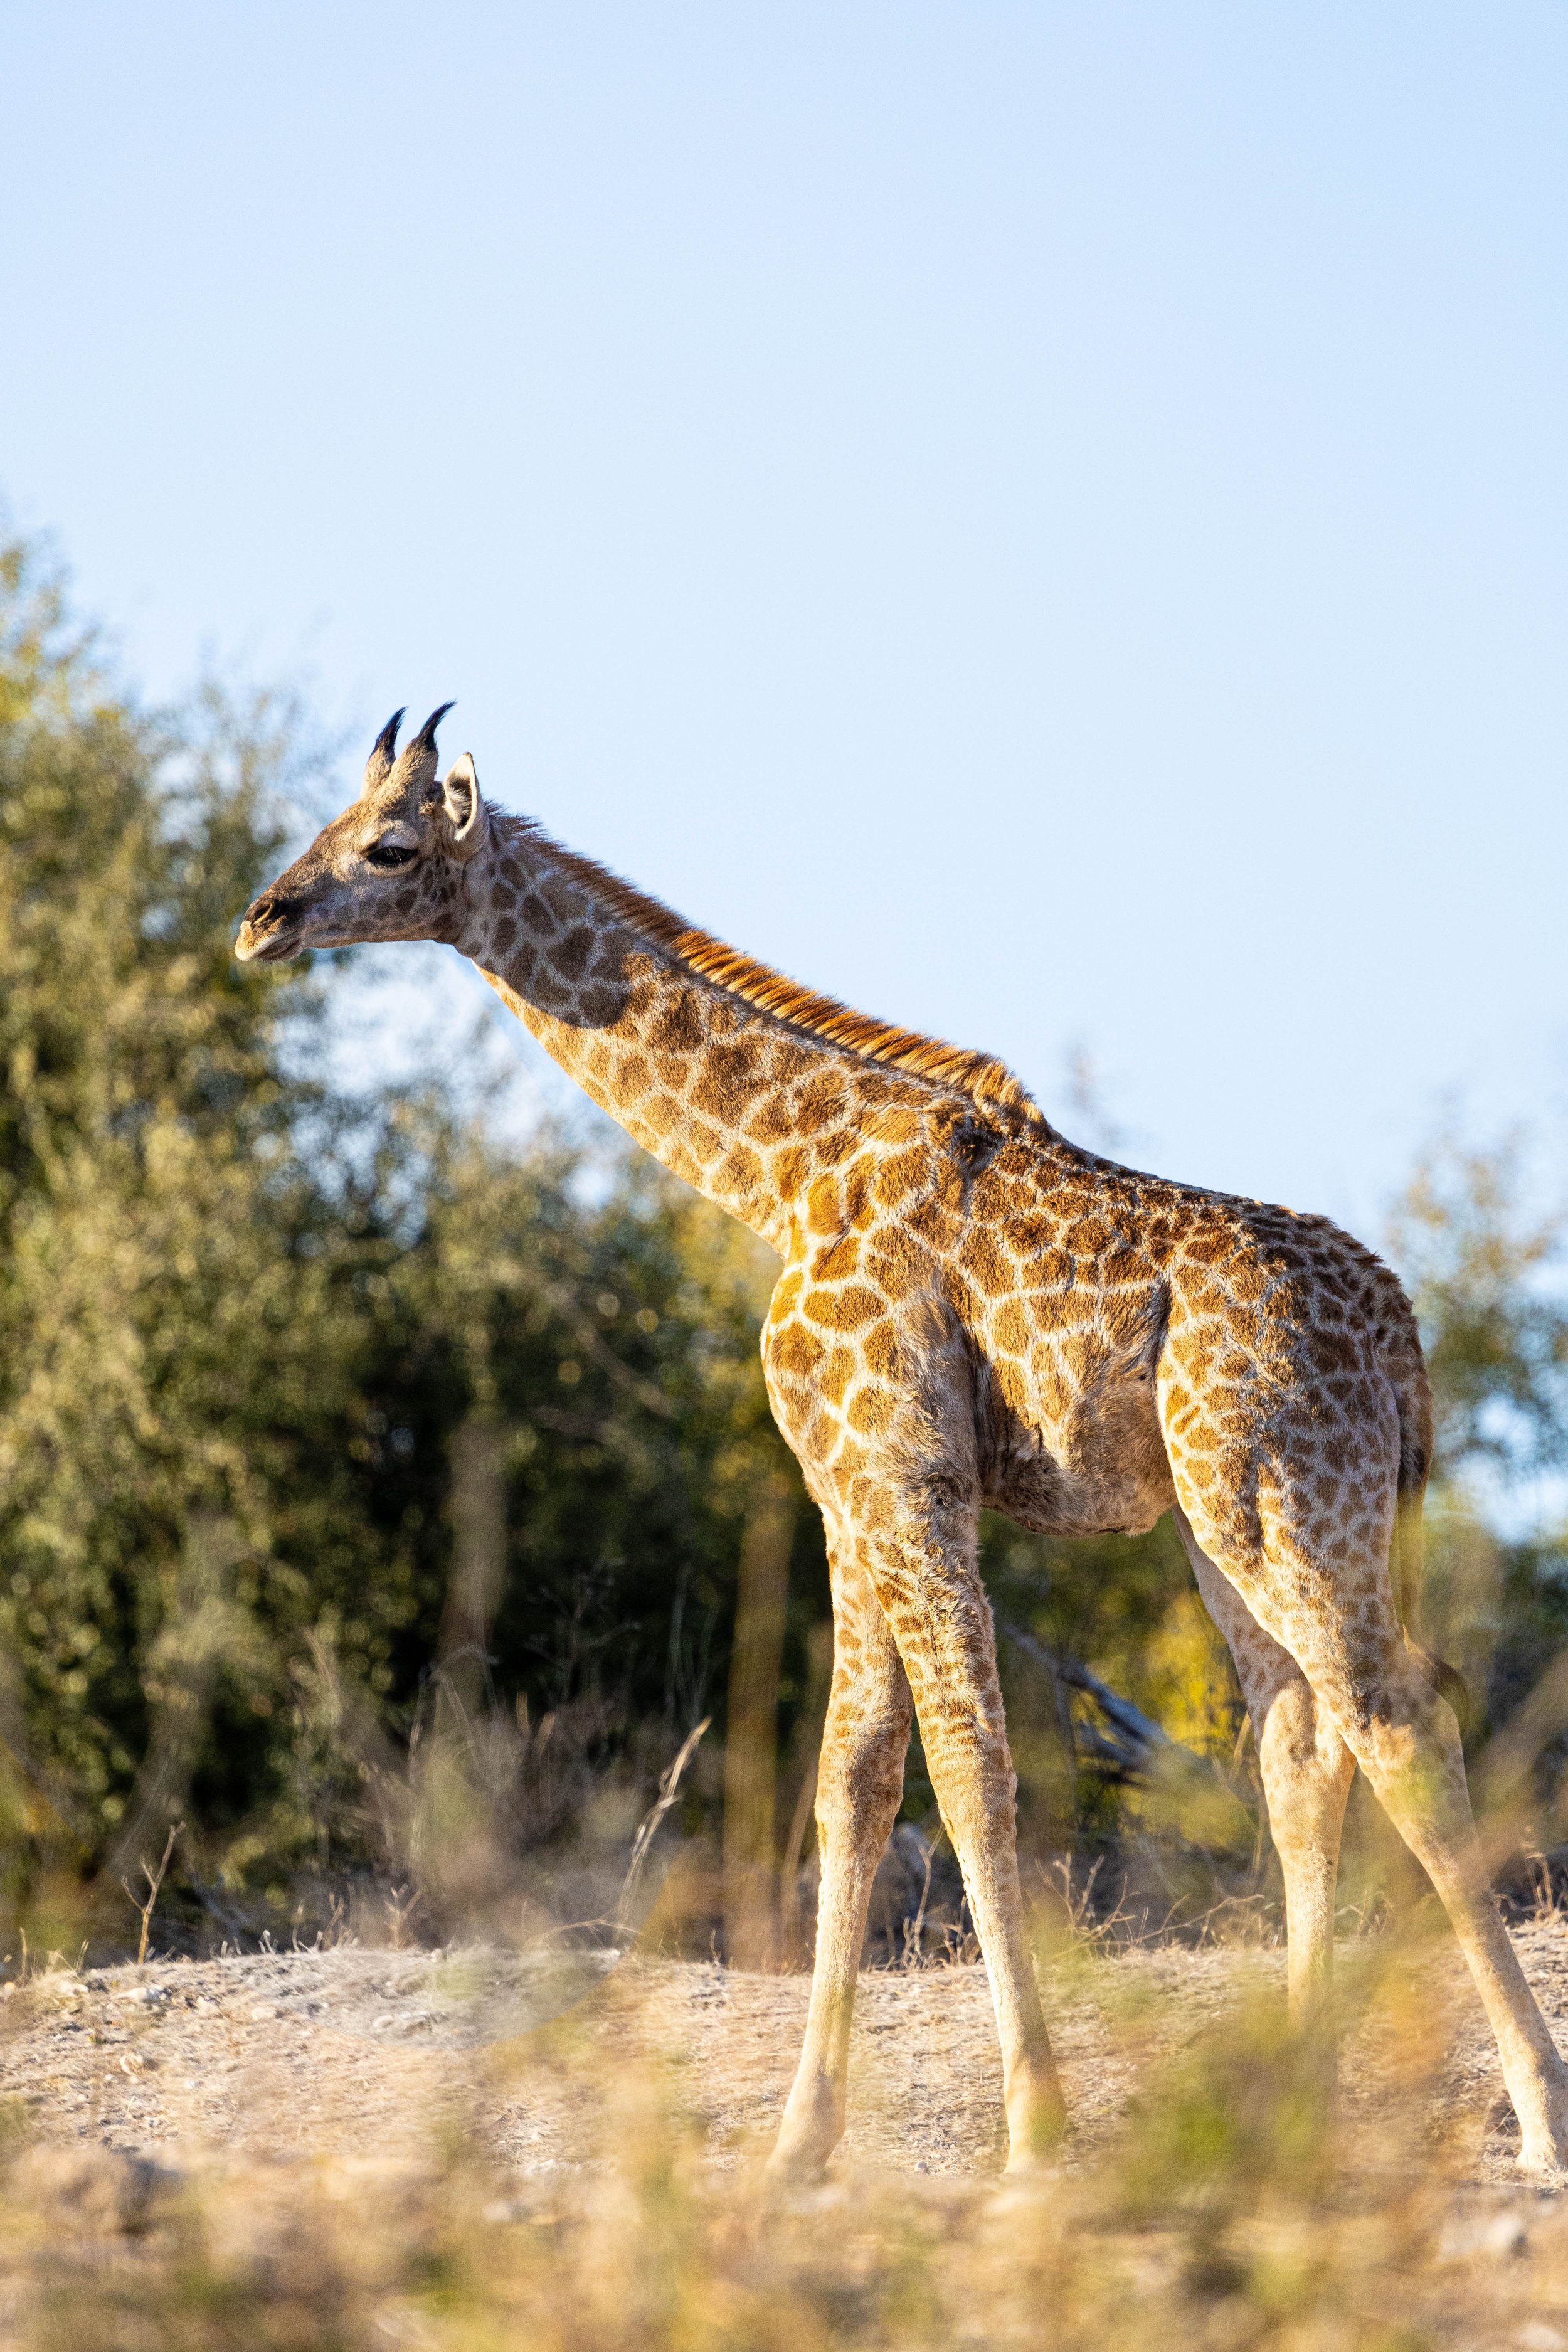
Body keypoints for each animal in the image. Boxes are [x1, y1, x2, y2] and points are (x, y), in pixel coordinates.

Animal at [236, 706, 1568, 2180]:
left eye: (388, 844)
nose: (261, 920)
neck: (776, 1170)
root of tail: (1403, 1337)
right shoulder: (839, 1489)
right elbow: (856, 1775)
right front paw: (800, 2139)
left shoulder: (903, 1473)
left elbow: (968, 1769)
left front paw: (1034, 2126)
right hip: (1235, 1521)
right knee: (1300, 1745)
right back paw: (1293, 2108)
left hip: (1279, 1504)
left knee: (1402, 1719)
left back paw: (1536, 2113)